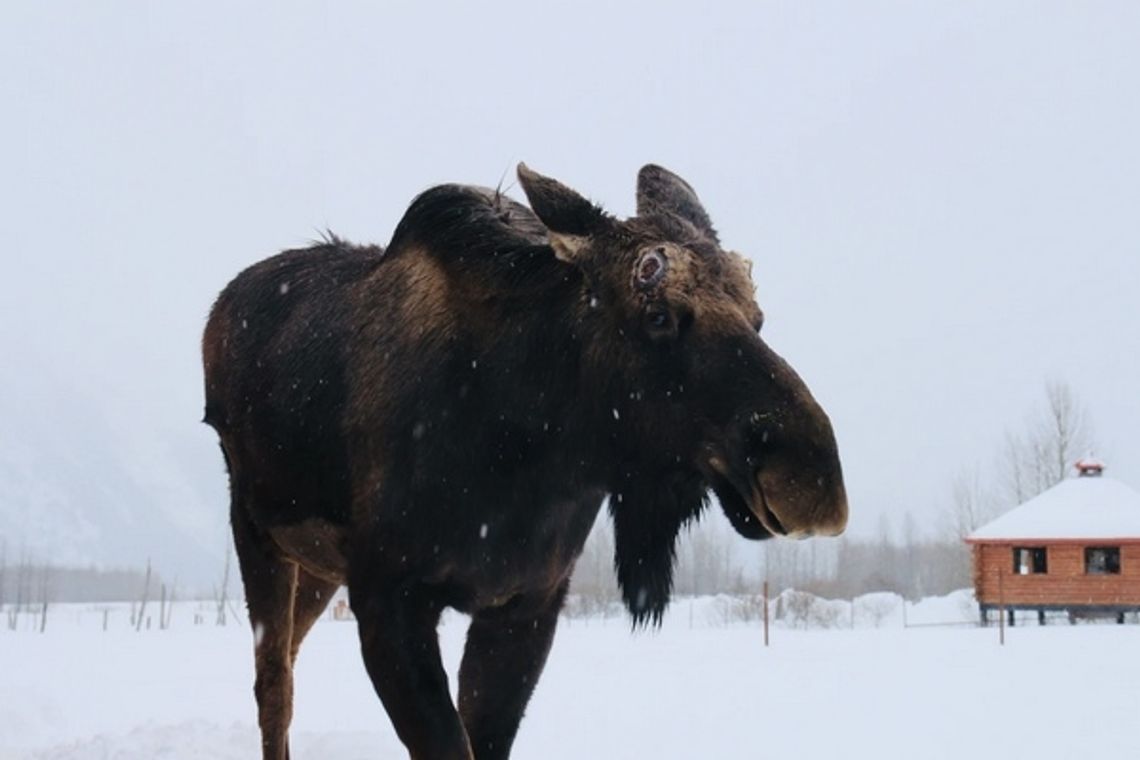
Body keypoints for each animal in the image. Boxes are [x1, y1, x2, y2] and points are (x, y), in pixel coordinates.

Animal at [202, 164, 848, 756]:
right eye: (657, 315)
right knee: (274, 685)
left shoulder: (528, 604)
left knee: (288, 658)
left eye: (758, 317)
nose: (812, 482)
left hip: (318, 567)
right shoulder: (389, 597)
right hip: (258, 531)